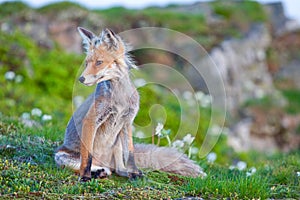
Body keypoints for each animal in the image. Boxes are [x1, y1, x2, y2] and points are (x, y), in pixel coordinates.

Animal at [54, 26, 204, 181]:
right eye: (86, 63)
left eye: (99, 62)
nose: (81, 79)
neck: (120, 100)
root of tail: (105, 163)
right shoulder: (91, 119)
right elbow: (87, 157)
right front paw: (85, 176)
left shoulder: (127, 121)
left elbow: (130, 153)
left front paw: (135, 173)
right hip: (60, 156)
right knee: (91, 166)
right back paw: (97, 171)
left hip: (117, 145)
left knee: (118, 169)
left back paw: (124, 172)